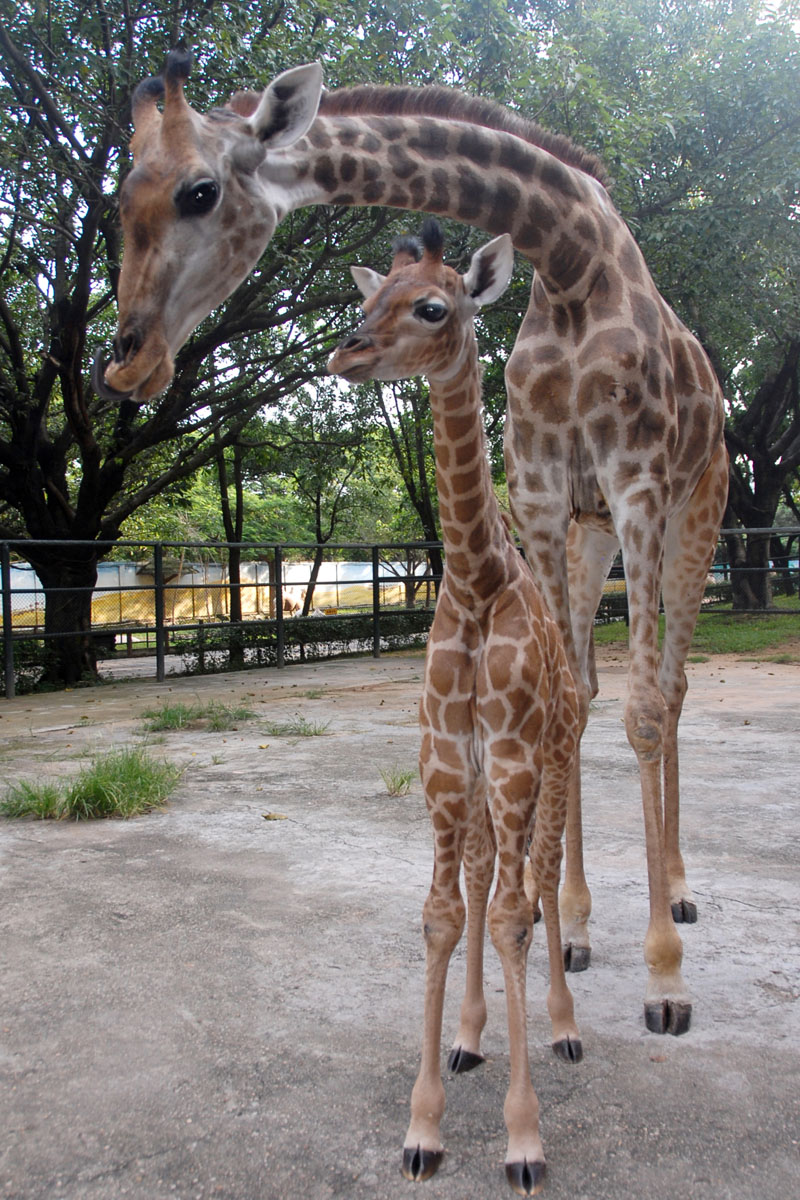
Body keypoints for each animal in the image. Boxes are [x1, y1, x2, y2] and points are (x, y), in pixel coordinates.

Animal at [97, 51, 729, 1036]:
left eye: (200, 191)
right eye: (123, 196)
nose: (128, 360)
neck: (572, 262)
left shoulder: (638, 489)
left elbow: (644, 710)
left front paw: (666, 981)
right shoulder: (543, 496)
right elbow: (574, 701)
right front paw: (571, 927)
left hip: (694, 516)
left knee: (672, 686)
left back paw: (683, 891)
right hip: (591, 538)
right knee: (603, 689)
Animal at [328, 223, 578, 1190]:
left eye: (434, 306)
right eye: (365, 298)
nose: (346, 351)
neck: (474, 582)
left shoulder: (510, 754)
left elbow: (513, 914)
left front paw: (524, 1141)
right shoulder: (444, 758)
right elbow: (445, 912)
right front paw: (425, 1125)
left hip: (556, 756)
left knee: (541, 877)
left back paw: (564, 1026)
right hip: (481, 782)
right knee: (484, 879)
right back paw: (473, 1036)